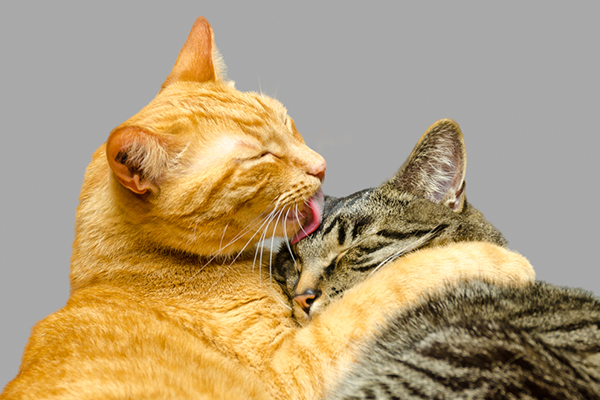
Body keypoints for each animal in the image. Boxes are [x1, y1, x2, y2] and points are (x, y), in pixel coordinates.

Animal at [0, 17, 536, 398]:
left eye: (287, 122)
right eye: (259, 157)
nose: (321, 167)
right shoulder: (297, 369)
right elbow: (392, 284)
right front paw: (500, 262)